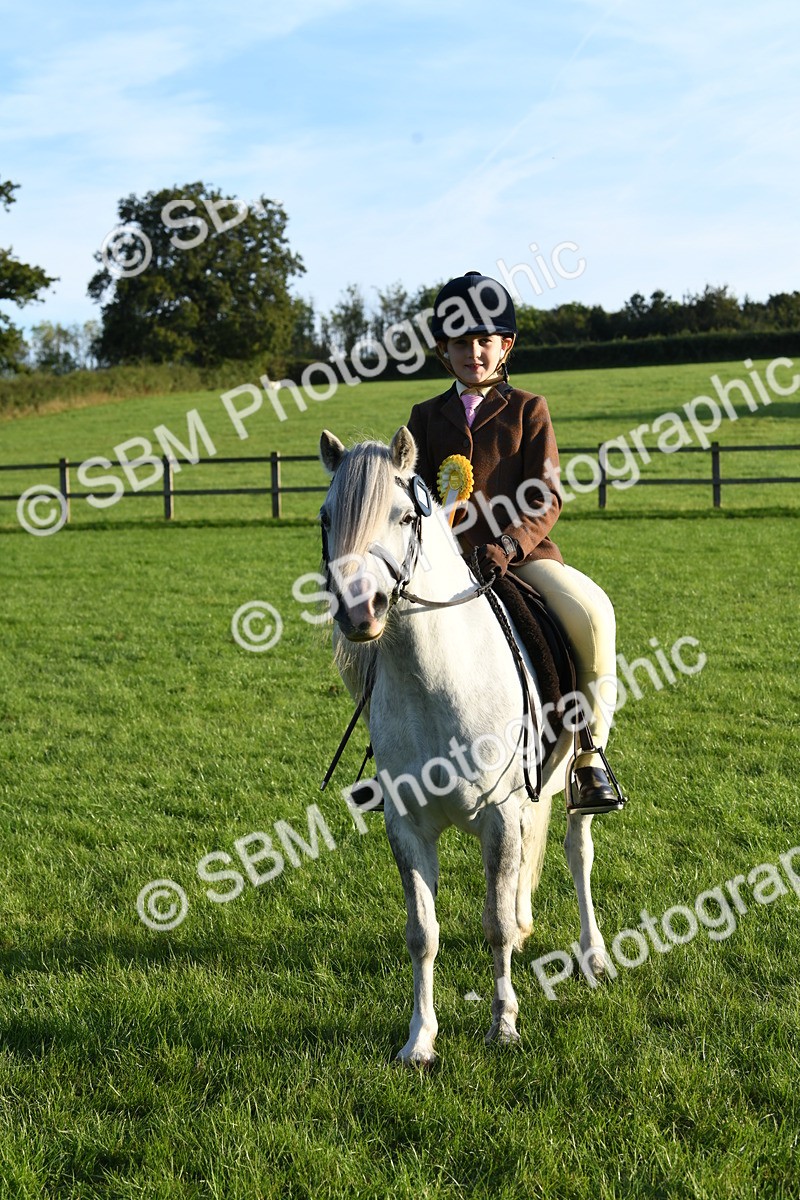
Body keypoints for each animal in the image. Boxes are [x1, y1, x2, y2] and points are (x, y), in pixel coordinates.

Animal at [319, 426, 607, 1066]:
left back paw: (594, 955)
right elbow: (422, 934)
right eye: (326, 518)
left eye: (406, 516)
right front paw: (419, 1040)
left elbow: (493, 923)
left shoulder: (496, 814)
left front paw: (503, 1025)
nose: (359, 611)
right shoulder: (407, 826)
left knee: (578, 851)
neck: (436, 679)